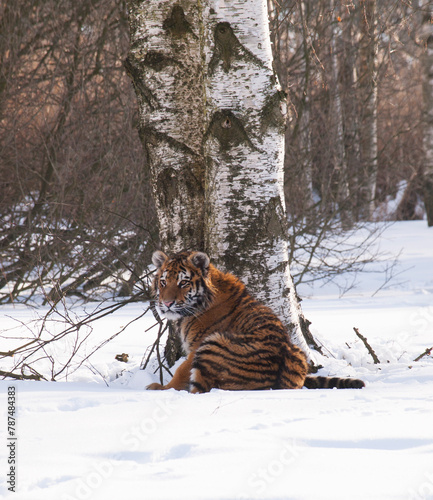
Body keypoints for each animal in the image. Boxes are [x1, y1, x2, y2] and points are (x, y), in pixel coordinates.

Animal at [147, 250, 362, 394]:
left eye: (183, 282)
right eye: (163, 282)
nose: (166, 303)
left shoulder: (197, 344)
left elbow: (182, 370)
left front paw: (165, 388)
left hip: (214, 342)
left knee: (200, 389)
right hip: (297, 352)